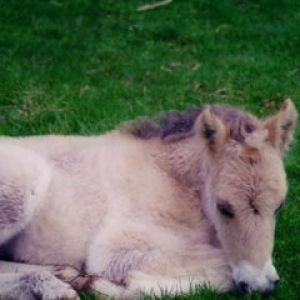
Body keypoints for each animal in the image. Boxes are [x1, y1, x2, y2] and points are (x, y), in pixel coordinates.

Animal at [0, 99, 296, 298]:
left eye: (279, 206)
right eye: (224, 208)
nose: (261, 285)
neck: (171, 180)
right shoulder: (118, 247)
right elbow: (224, 271)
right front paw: (111, 284)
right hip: (20, 186)